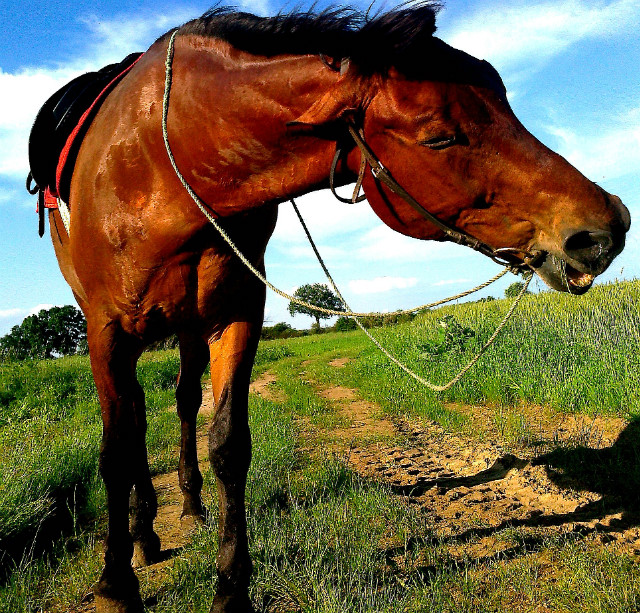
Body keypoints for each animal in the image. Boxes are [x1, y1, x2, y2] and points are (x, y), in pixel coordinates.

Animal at [40, 5, 632, 612]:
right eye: (439, 137)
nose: (604, 227)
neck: (164, 166)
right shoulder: (104, 331)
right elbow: (115, 453)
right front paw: (115, 586)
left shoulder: (236, 316)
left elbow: (228, 445)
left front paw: (231, 588)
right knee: (134, 422)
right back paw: (142, 533)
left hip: (186, 328)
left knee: (181, 404)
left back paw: (182, 509)